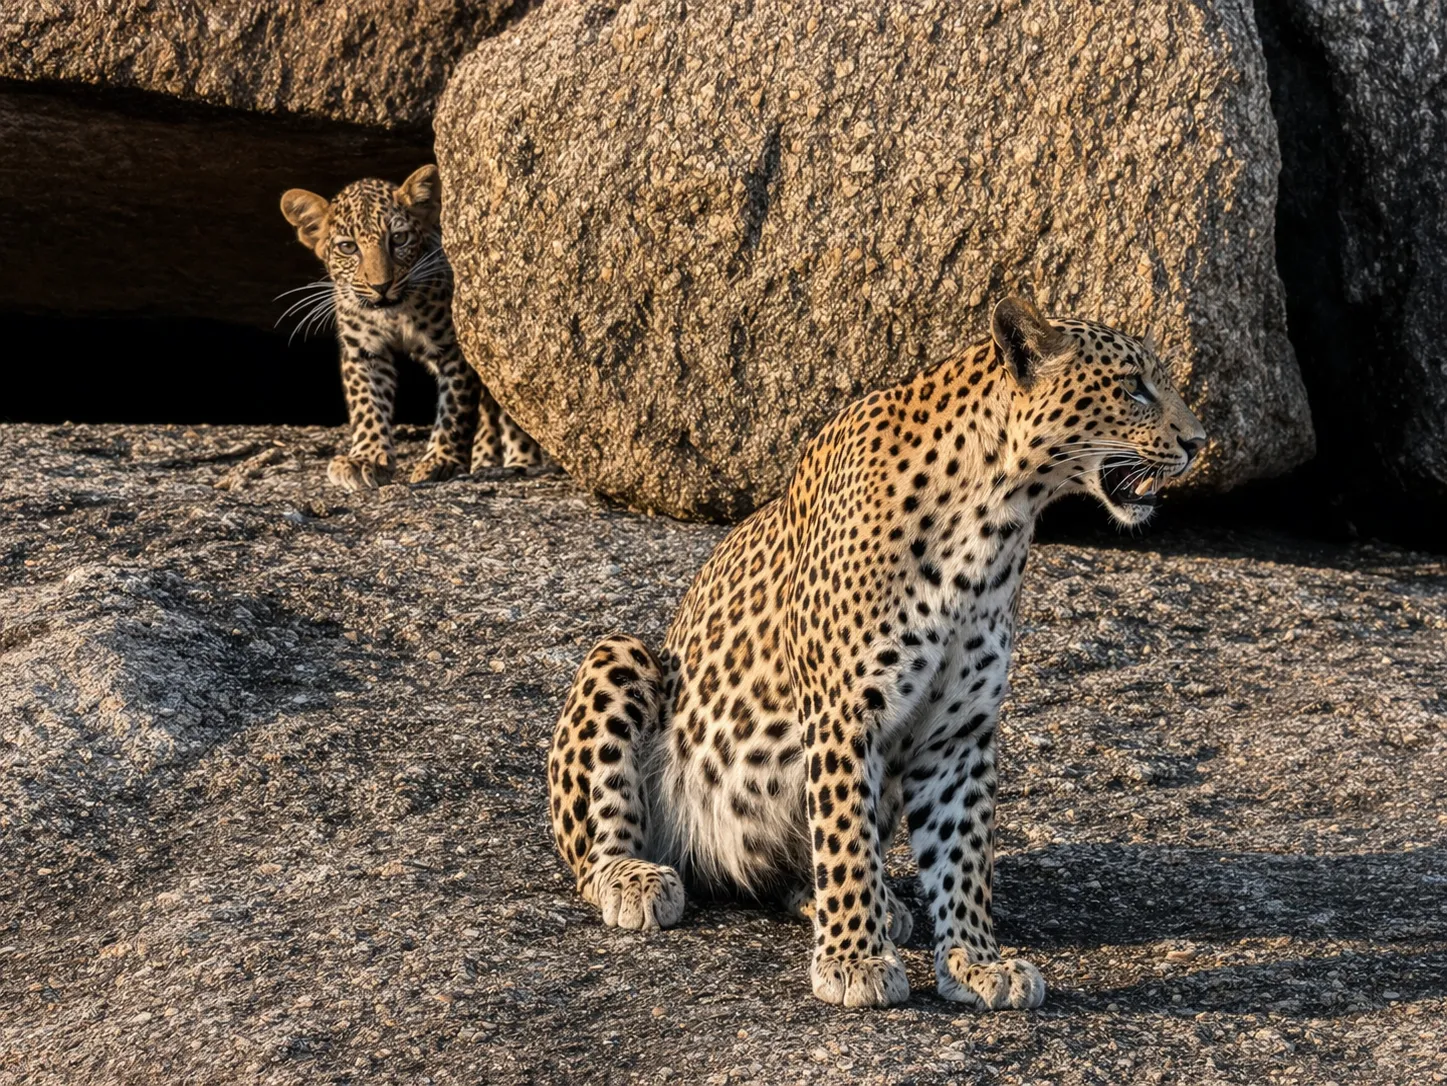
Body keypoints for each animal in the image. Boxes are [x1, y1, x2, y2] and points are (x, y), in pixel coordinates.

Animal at [280, 165, 542, 491]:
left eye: (399, 238)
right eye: (348, 247)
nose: (380, 286)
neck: (394, 316)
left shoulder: (454, 350)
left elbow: (455, 409)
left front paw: (442, 460)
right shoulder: (363, 350)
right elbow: (367, 403)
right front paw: (366, 458)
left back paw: (522, 461)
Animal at [547, 295, 1207, 1009]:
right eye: (1134, 387)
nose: (1199, 443)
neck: (996, 520)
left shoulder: (958, 731)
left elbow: (964, 853)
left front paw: (976, 962)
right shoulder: (843, 713)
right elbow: (845, 839)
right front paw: (854, 961)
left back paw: (871, 904)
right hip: (623, 658)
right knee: (594, 847)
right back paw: (636, 879)